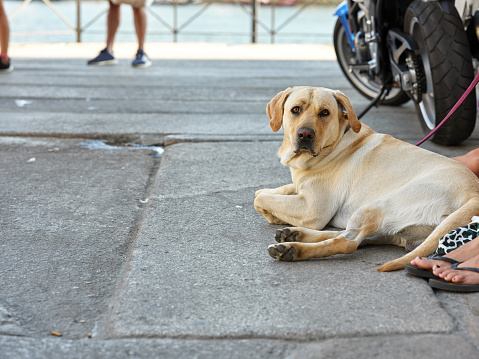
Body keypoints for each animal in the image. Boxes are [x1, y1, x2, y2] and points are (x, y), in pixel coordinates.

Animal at [256, 88, 479, 272]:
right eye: (295, 110)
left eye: (325, 113)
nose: (305, 134)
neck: (337, 141)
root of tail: (474, 194)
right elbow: (274, 190)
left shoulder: (313, 210)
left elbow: (259, 199)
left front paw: (271, 213)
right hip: (392, 227)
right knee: (349, 236)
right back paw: (293, 235)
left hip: (375, 207)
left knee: (347, 242)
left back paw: (294, 248)